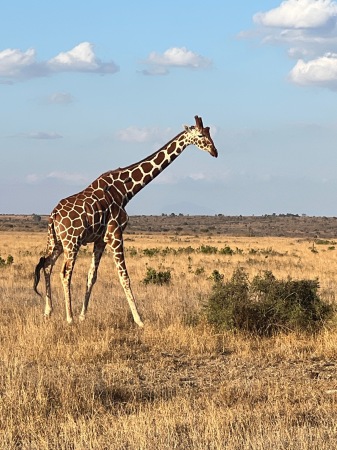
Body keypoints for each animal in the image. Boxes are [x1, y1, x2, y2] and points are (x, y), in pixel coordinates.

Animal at [34, 116, 218, 326]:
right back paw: (69, 317)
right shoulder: (115, 234)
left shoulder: (100, 239)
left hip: (55, 241)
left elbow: (92, 276)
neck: (125, 191)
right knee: (64, 273)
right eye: (200, 135)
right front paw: (139, 320)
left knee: (46, 265)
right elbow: (125, 277)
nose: (215, 151)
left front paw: (83, 315)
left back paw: (48, 311)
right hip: (72, 242)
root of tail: (54, 215)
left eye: (210, 133)